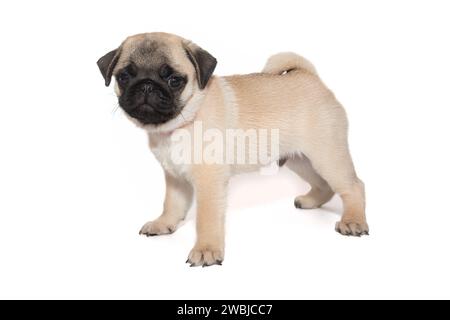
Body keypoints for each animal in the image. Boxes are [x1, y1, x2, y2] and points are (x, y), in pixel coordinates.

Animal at [96, 32, 368, 268]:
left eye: (174, 80)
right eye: (124, 77)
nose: (146, 86)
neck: (182, 122)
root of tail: (310, 77)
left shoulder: (209, 182)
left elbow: (206, 219)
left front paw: (206, 250)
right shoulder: (175, 177)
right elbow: (172, 204)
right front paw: (164, 224)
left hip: (326, 155)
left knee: (353, 186)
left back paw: (353, 221)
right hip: (299, 159)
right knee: (324, 185)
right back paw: (311, 201)